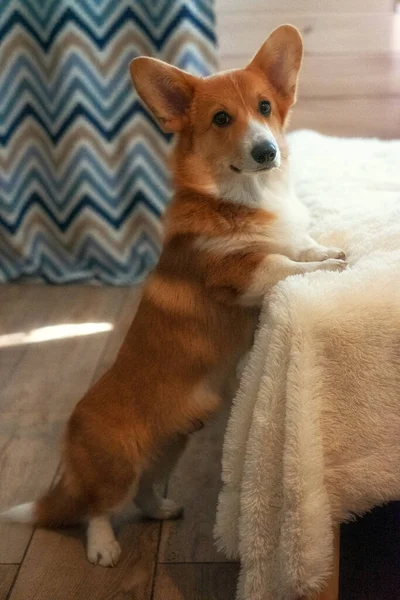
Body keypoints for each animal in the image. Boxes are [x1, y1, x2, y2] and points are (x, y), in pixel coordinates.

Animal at [0, 23, 346, 568]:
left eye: (265, 107)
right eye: (221, 118)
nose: (267, 151)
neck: (248, 196)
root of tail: (72, 448)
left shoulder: (283, 240)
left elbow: (302, 246)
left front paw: (329, 250)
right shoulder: (238, 274)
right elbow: (281, 264)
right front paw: (330, 266)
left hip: (169, 451)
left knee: (144, 492)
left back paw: (163, 509)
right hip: (115, 465)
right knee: (97, 509)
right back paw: (103, 548)